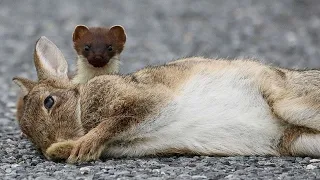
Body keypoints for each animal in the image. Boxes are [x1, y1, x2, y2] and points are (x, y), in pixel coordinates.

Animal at [13, 36, 320, 163]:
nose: (49, 145)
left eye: (49, 102)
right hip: (296, 141)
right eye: (25, 131)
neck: (80, 101)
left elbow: (117, 120)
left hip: (287, 103)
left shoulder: (146, 100)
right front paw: (64, 150)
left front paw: (81, 147)